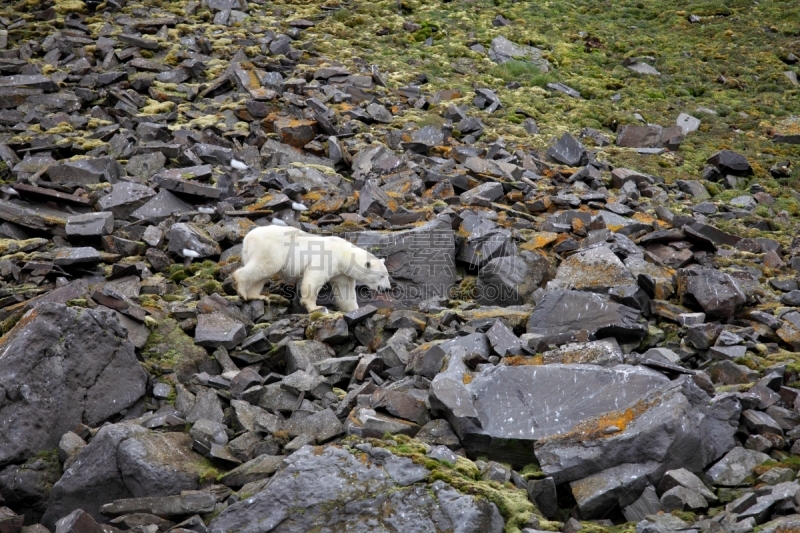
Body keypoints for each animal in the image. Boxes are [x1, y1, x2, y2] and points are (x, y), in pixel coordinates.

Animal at [233, 223, 392, 312]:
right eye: (381, 276)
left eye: (387, 275)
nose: (387, 288)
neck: (343, 255)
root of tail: (247, 238)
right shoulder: (327, 258)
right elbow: (314, 278)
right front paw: (315, 307)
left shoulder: (341, 273)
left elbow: (345, 290)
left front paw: (355, 310)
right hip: (270, 248)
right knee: (264, 266)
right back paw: (241, 289)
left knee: (262, 274)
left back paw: (256, 296)